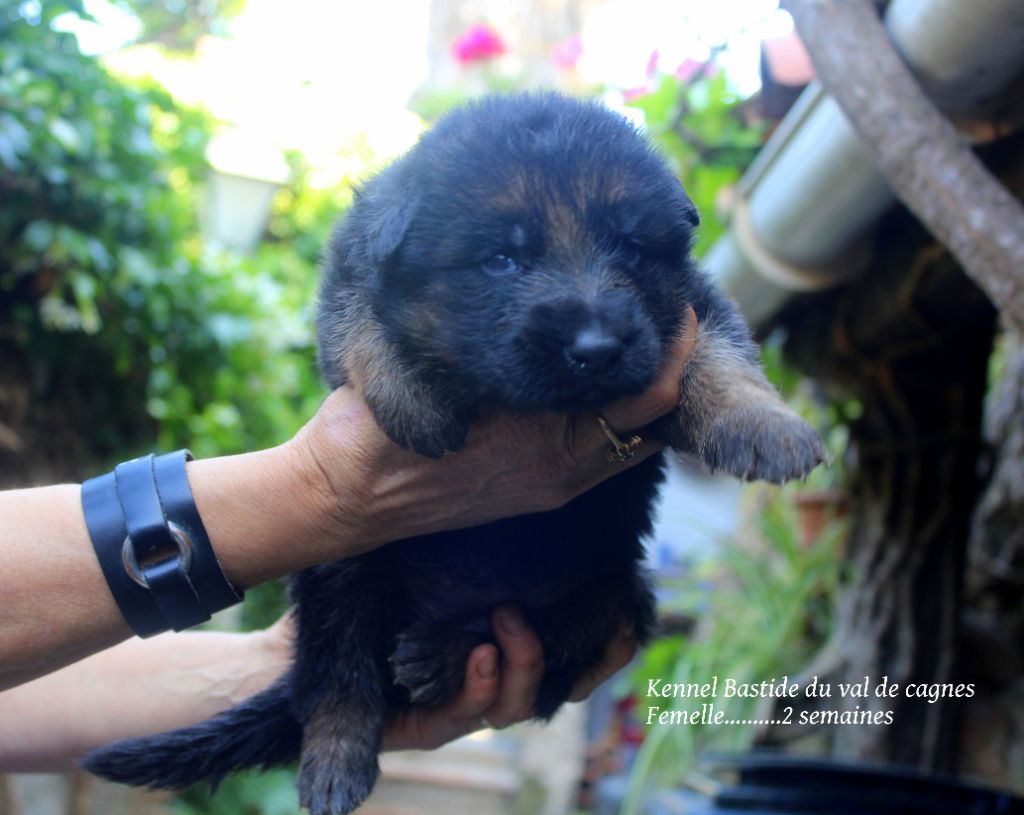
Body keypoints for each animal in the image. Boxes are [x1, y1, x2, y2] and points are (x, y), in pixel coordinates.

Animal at [83, 93, 827, 815]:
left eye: (630, 247)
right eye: (501, 259)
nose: (595, 348)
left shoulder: (690, 306)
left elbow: (723, 355)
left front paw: (766, 424)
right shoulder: (347, 285)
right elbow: (361, 324)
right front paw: (411, 397)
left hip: (617, 589)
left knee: (534, 628)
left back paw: (444, 652)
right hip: (341, 565)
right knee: (339, 676)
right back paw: (338, 755)